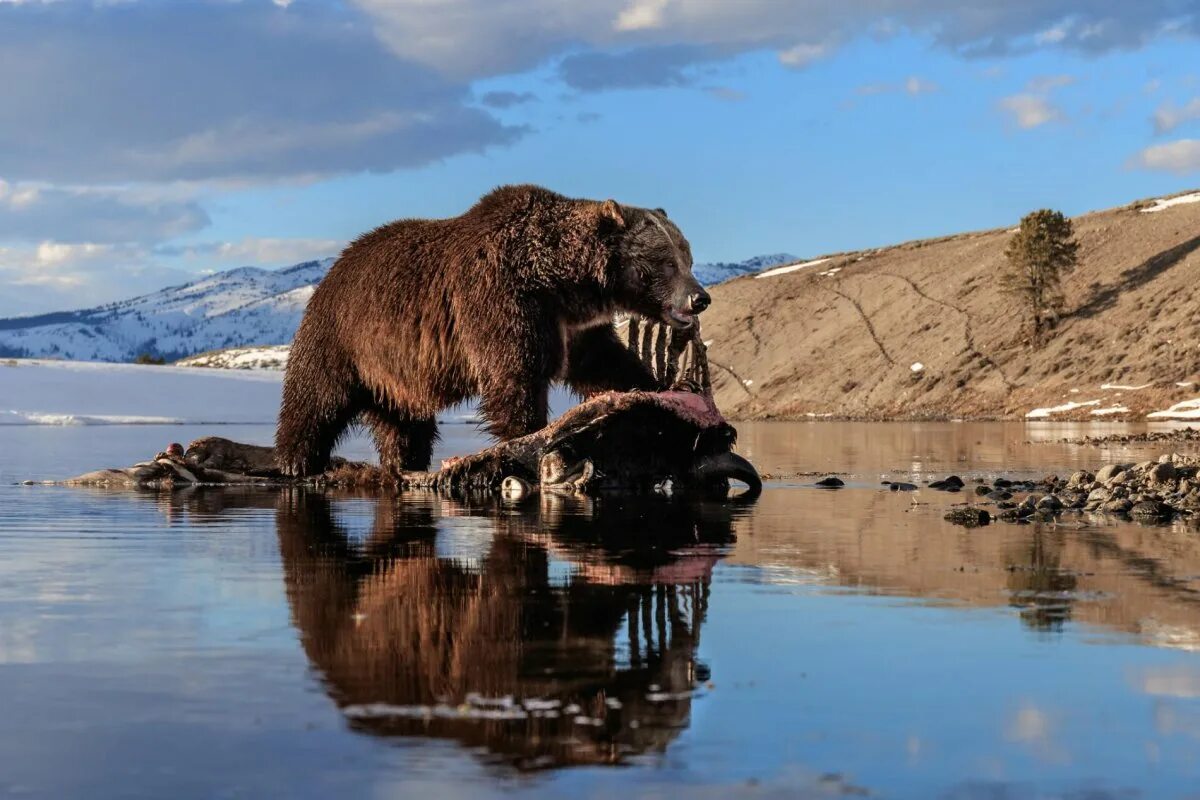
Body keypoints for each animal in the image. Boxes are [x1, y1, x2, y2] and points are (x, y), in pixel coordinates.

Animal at [274, 183, 705, 474]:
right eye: (666, 262)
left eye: (687, 255)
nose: (699, 298)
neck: (560, 281)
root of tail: (335, 267)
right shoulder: (500, 298)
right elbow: (515, 377)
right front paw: (527, 436)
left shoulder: (575, 326)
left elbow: (602, 362)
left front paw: (657, 386)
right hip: (344, 337)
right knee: (315, 397)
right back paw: (297, 460)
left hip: (397, 374)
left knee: (404, 422)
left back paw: (406, 461)